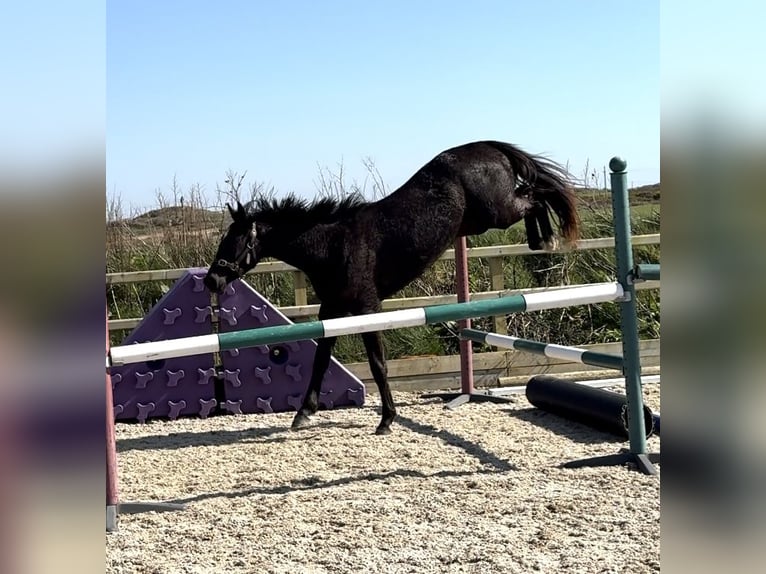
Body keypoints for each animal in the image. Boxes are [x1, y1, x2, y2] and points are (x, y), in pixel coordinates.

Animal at [204, 140, 580, 435]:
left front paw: (386, 419)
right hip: (480, 220)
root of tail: (487, 147)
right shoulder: (332, 311)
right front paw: (303, 413)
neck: (334, 246)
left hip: (497, 212)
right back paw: (541, 240)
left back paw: (545, 239)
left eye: (233, 243)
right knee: (534, 193)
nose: (212, 279)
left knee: (535, 195)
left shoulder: (367, 310)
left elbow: (377, 365)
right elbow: (321, 360)